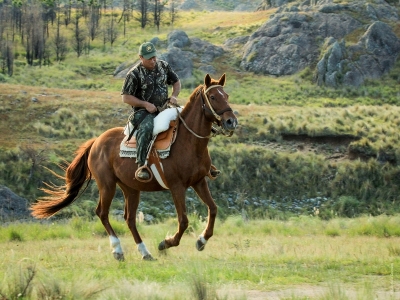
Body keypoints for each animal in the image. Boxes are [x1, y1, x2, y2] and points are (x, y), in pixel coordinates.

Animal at [32, 72, 238, 260]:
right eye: (213, 97)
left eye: (226, 95)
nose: (231, 121)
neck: (188, 142)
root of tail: (96, 142)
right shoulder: (177, 187)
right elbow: (184, 220)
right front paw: (166, 243)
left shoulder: (199, 181)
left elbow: (213, 209)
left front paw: (201, 241)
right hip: (107, 185)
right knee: (102, 213)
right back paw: (118, 250)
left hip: (130, 188)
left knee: (129, 219)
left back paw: (145, 252)